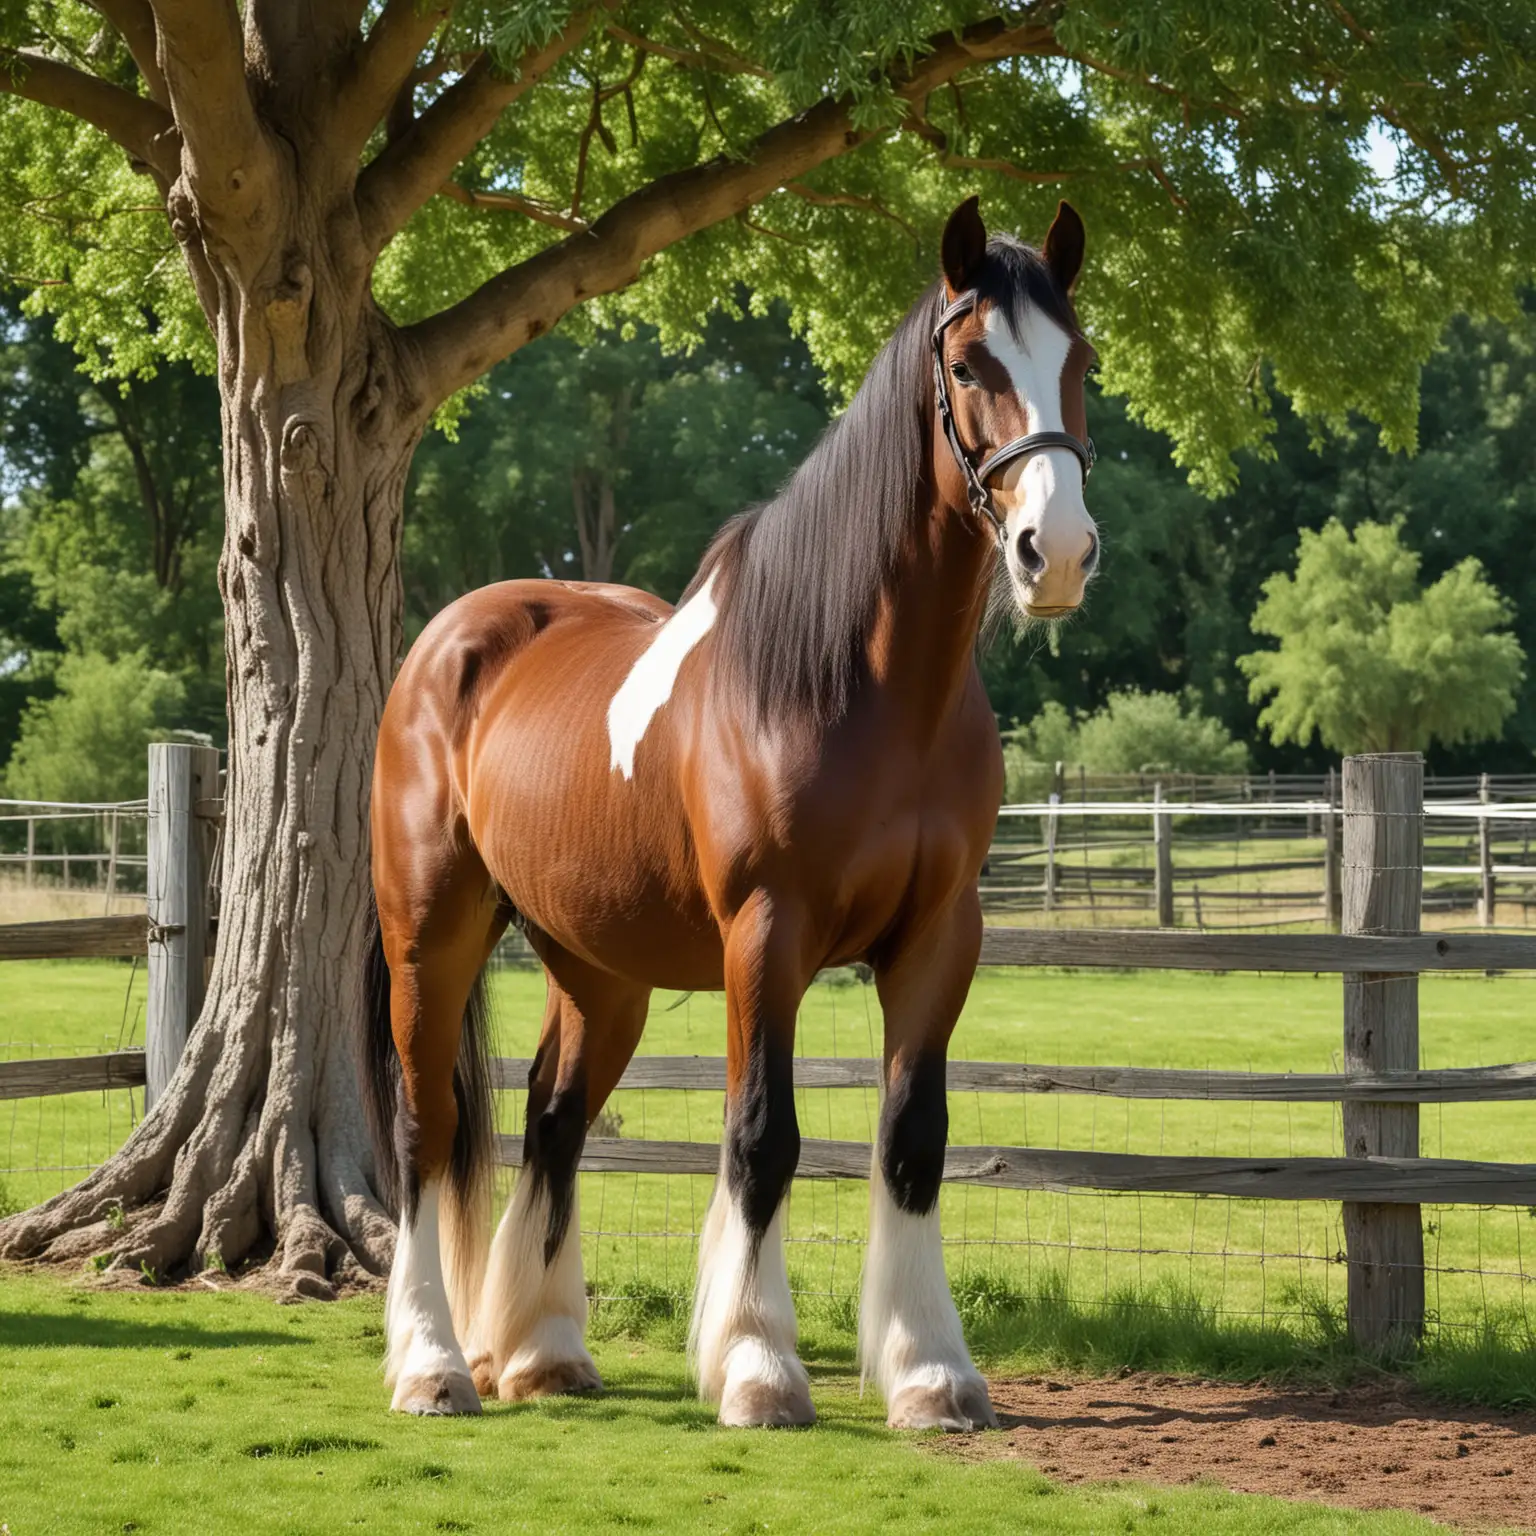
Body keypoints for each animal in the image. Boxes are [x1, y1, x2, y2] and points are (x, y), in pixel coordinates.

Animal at [356, 198, 1105, 1431]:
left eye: (1080, 361)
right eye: (967, 364)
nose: (1061, 553)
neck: (861, 686)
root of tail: (447, 643)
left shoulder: (940, 939)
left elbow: (913, 1141)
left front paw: (931, 1373)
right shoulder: (767, 935)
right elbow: (762, 1137)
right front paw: (757, 1366)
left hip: (599, 971)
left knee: (554, 1120)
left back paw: (544, 1350)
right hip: (434, 933)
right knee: (425, 1129)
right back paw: (433, 1364)